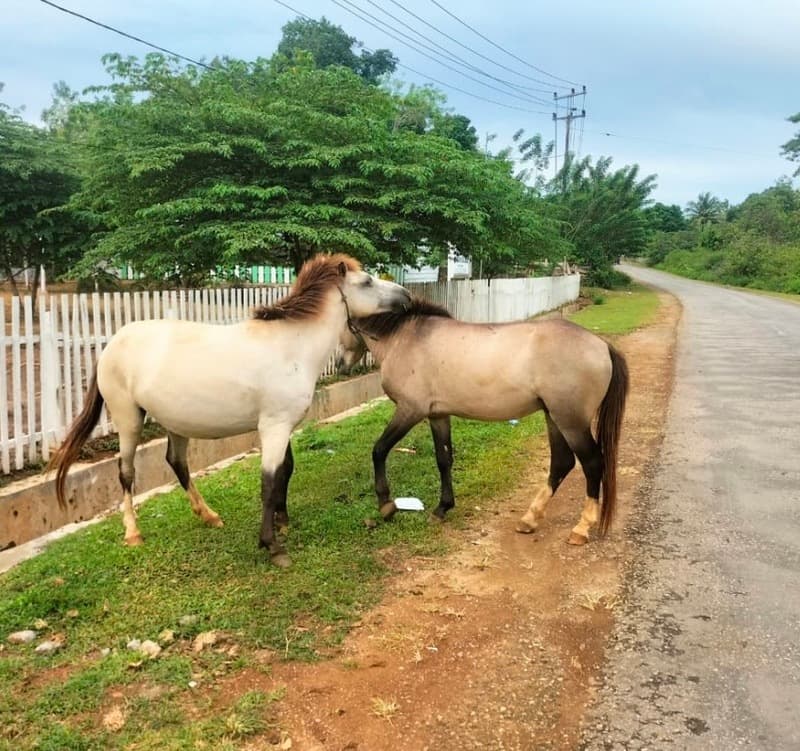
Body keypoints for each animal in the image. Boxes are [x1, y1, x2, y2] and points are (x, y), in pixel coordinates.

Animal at [49, 254, 411, 566]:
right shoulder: (274, 427)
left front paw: (282, 521)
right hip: (129, 421)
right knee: (126, 473)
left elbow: (286, 471)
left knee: (177, 463)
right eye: (366, 281)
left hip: (174, 423)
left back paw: (208, 515)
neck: (291, 346)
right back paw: (133, 533)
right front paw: (272, 545)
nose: (406, 295)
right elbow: (268, 483)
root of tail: (112, 344)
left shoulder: (283, 426)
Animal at [336, 298, 629, 545]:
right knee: (562, 462)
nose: (340, 364)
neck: (405, 338)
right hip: (554, 417)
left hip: (571, 421)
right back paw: (530, 519)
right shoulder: (437, 415)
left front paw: (386, 505)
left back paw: (581, 528)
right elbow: (444, 460)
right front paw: (442, 508)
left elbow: (379, 450)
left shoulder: (410, 410)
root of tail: (602, 346)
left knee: (592, 463)